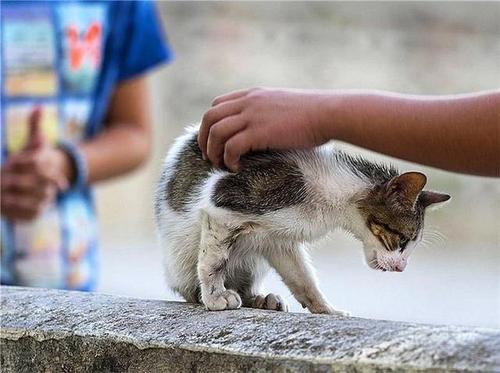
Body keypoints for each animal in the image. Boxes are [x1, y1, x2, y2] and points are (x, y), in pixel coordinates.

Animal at [154, 125, 452, 314]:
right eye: (401, 240)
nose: (401, 267)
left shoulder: (278, 239)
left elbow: (302, 277)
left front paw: (326, 309)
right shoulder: (222, 202)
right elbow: (213, 261)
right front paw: (215, 296)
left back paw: (259, 298)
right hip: (180, 261)